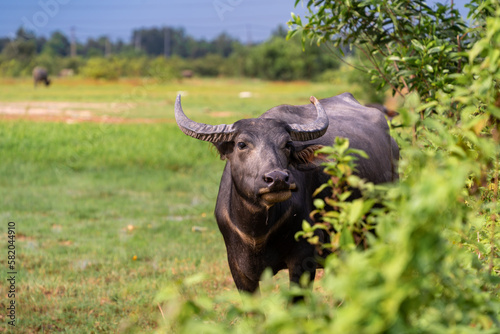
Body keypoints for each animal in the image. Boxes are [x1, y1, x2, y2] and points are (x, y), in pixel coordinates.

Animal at [176, 92, 398, 294]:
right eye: (241, 144)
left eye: (287, 145)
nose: (277, 179)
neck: (257, 231)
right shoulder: (237, 267)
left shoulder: (303, 260)